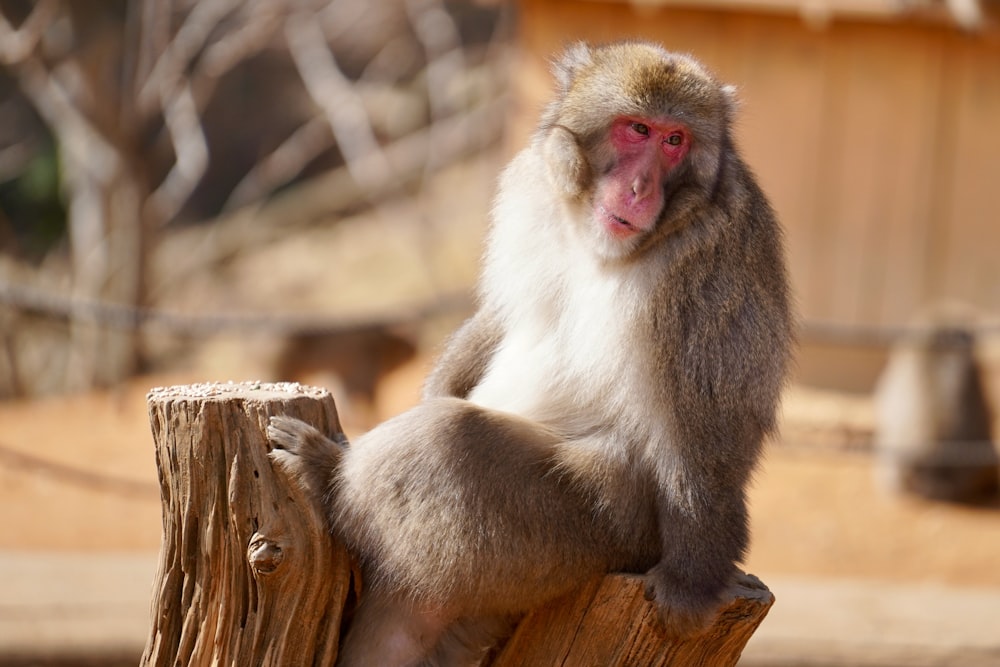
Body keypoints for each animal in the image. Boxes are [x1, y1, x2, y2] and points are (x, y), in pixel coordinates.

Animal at [268, 40, 796, 664]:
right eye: (637, 129)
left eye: (675, 140)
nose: (641, 189)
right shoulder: (530, 187)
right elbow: (502, 313)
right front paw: (437, 385)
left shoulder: (710, 262)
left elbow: (708, 425)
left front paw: (691, 584)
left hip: (589, 532)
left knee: (450, 443)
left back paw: (327, 475)